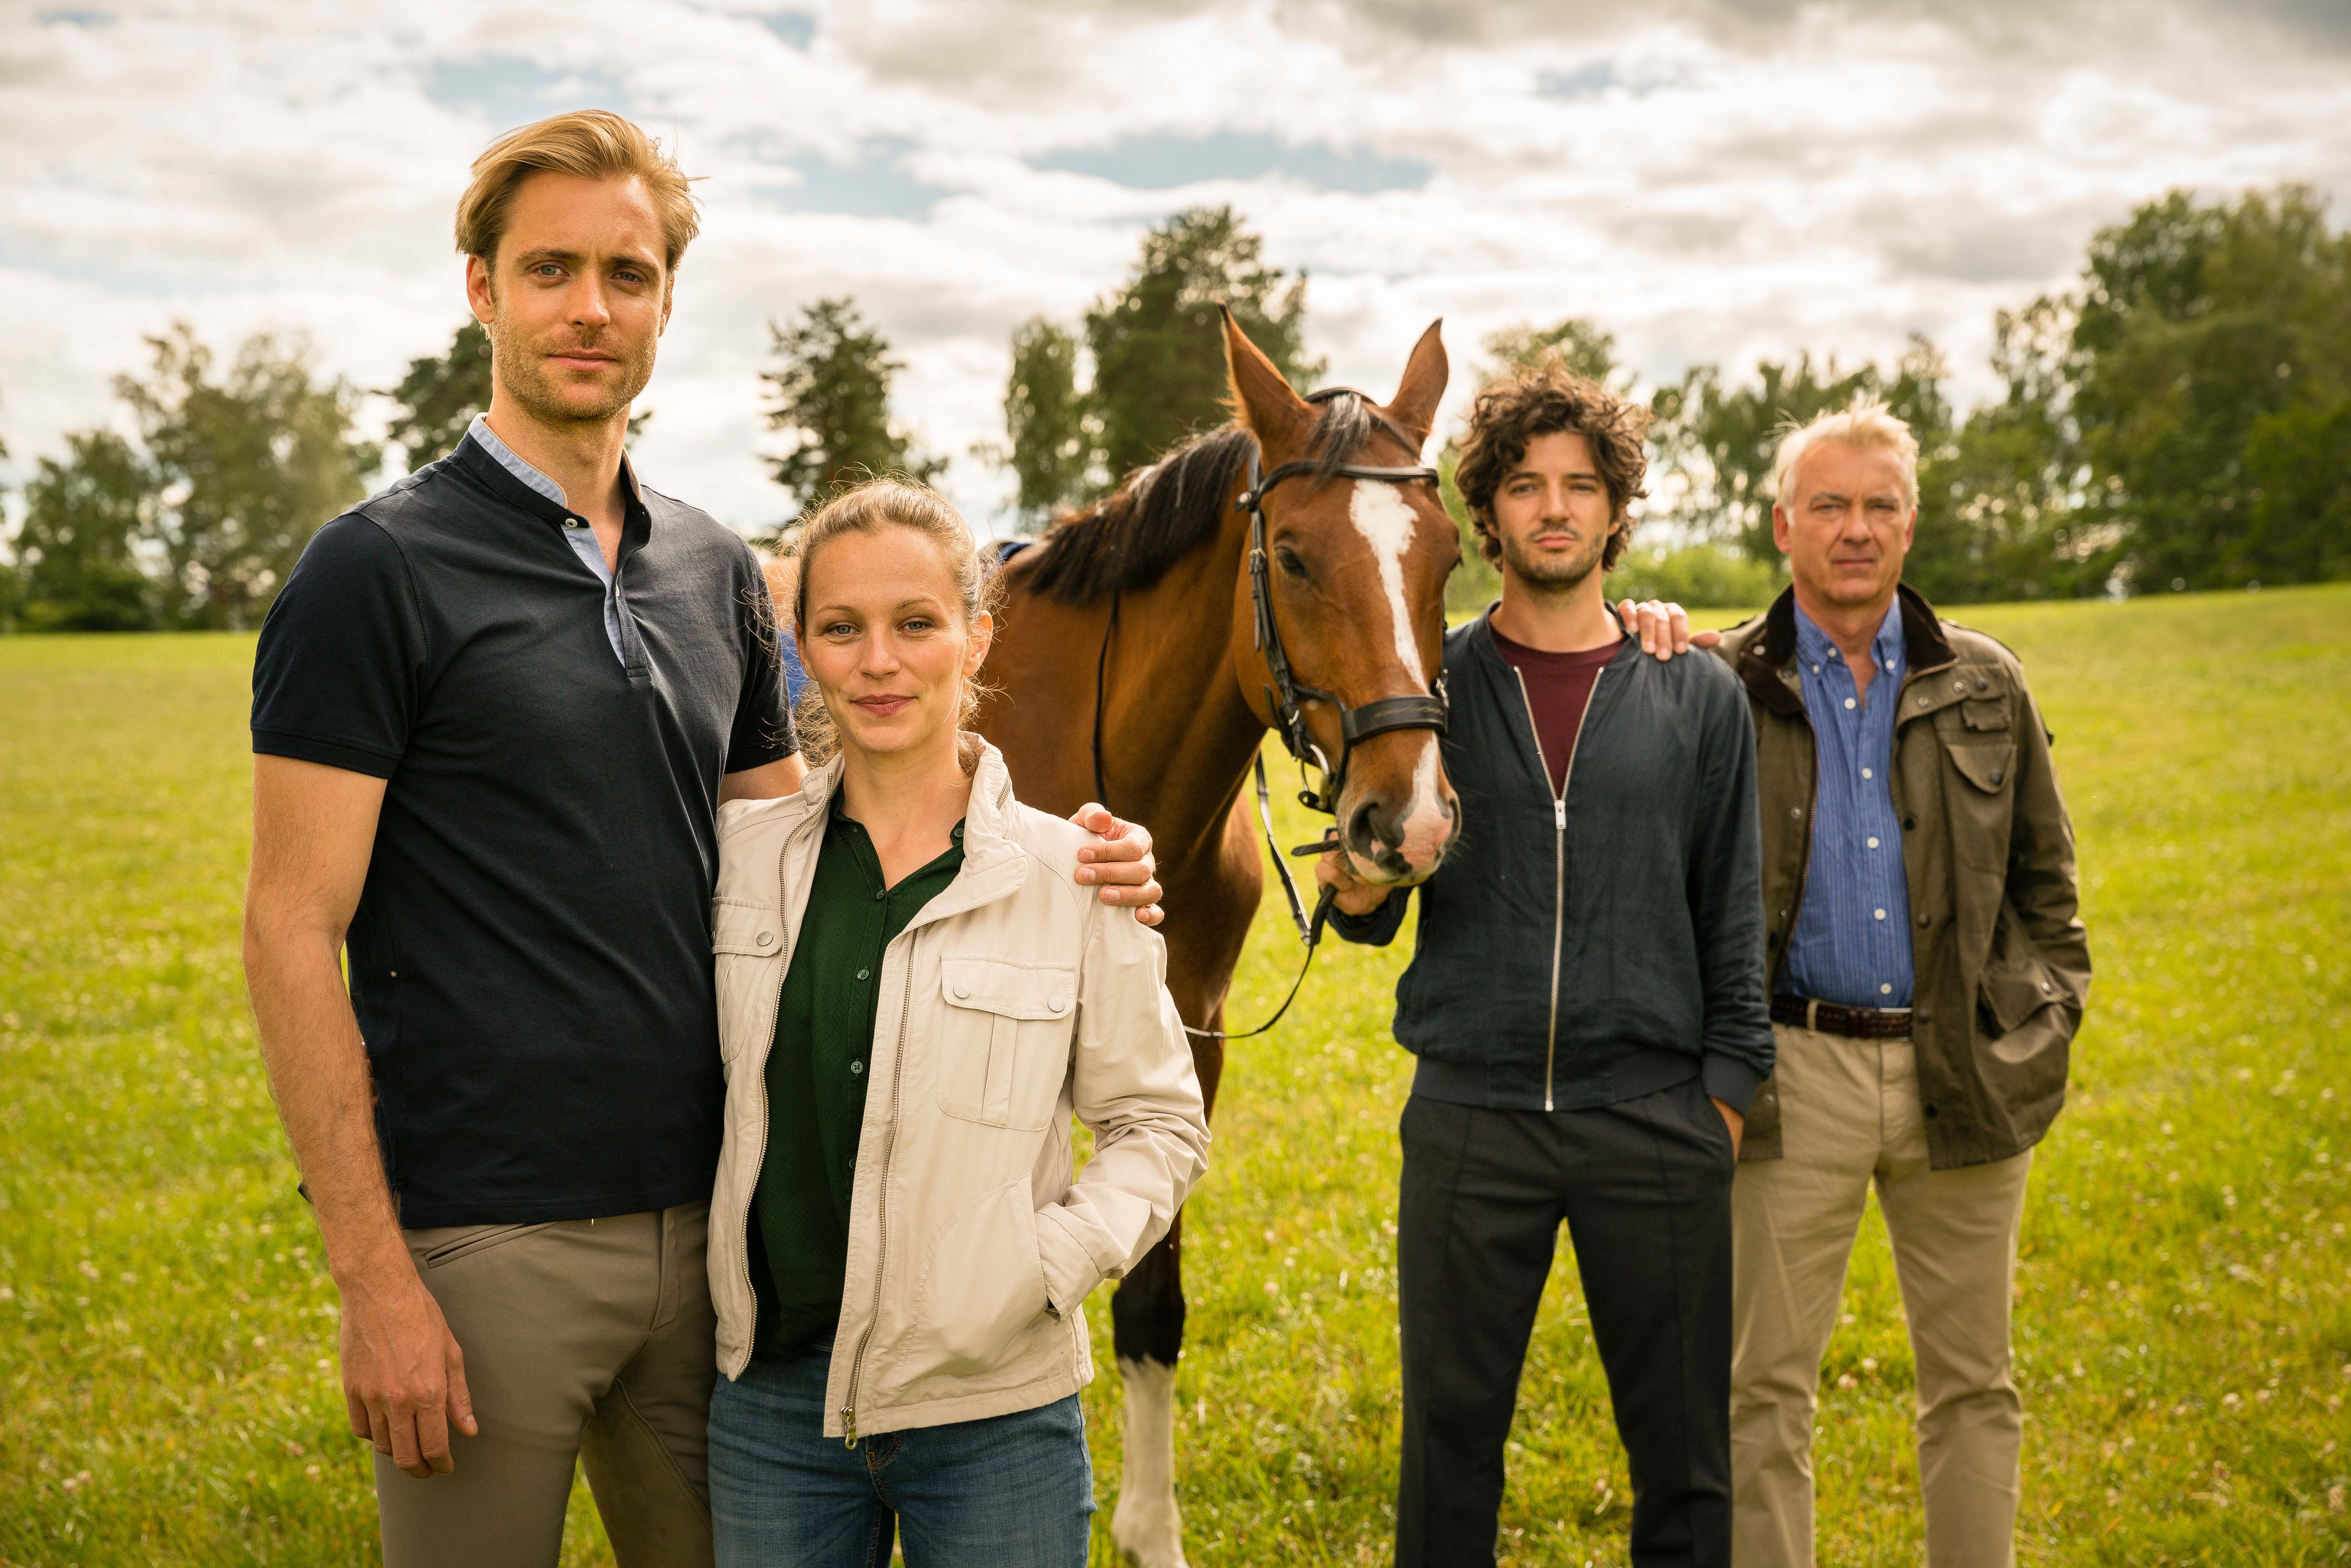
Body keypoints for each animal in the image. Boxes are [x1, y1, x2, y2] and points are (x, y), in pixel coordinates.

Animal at [969, 312, 1448, 1561]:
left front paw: (1147, 1528)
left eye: (1447, 559)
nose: (1409, 819)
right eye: (1295, 557)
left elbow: (1149, 1298)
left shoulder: (1190, 1041)